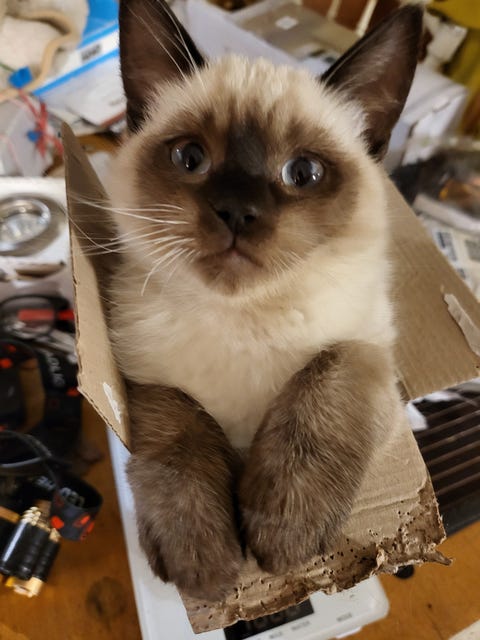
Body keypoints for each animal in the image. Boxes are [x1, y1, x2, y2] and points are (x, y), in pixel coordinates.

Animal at [105, 0, 422, 600]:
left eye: (303, 172)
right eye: (190, 158)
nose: (237, 211)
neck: (245, 320)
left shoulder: (372, 355)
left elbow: (329, 372)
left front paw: (283, 536)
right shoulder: (139, 378)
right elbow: (180, 423)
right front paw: (206, 564)